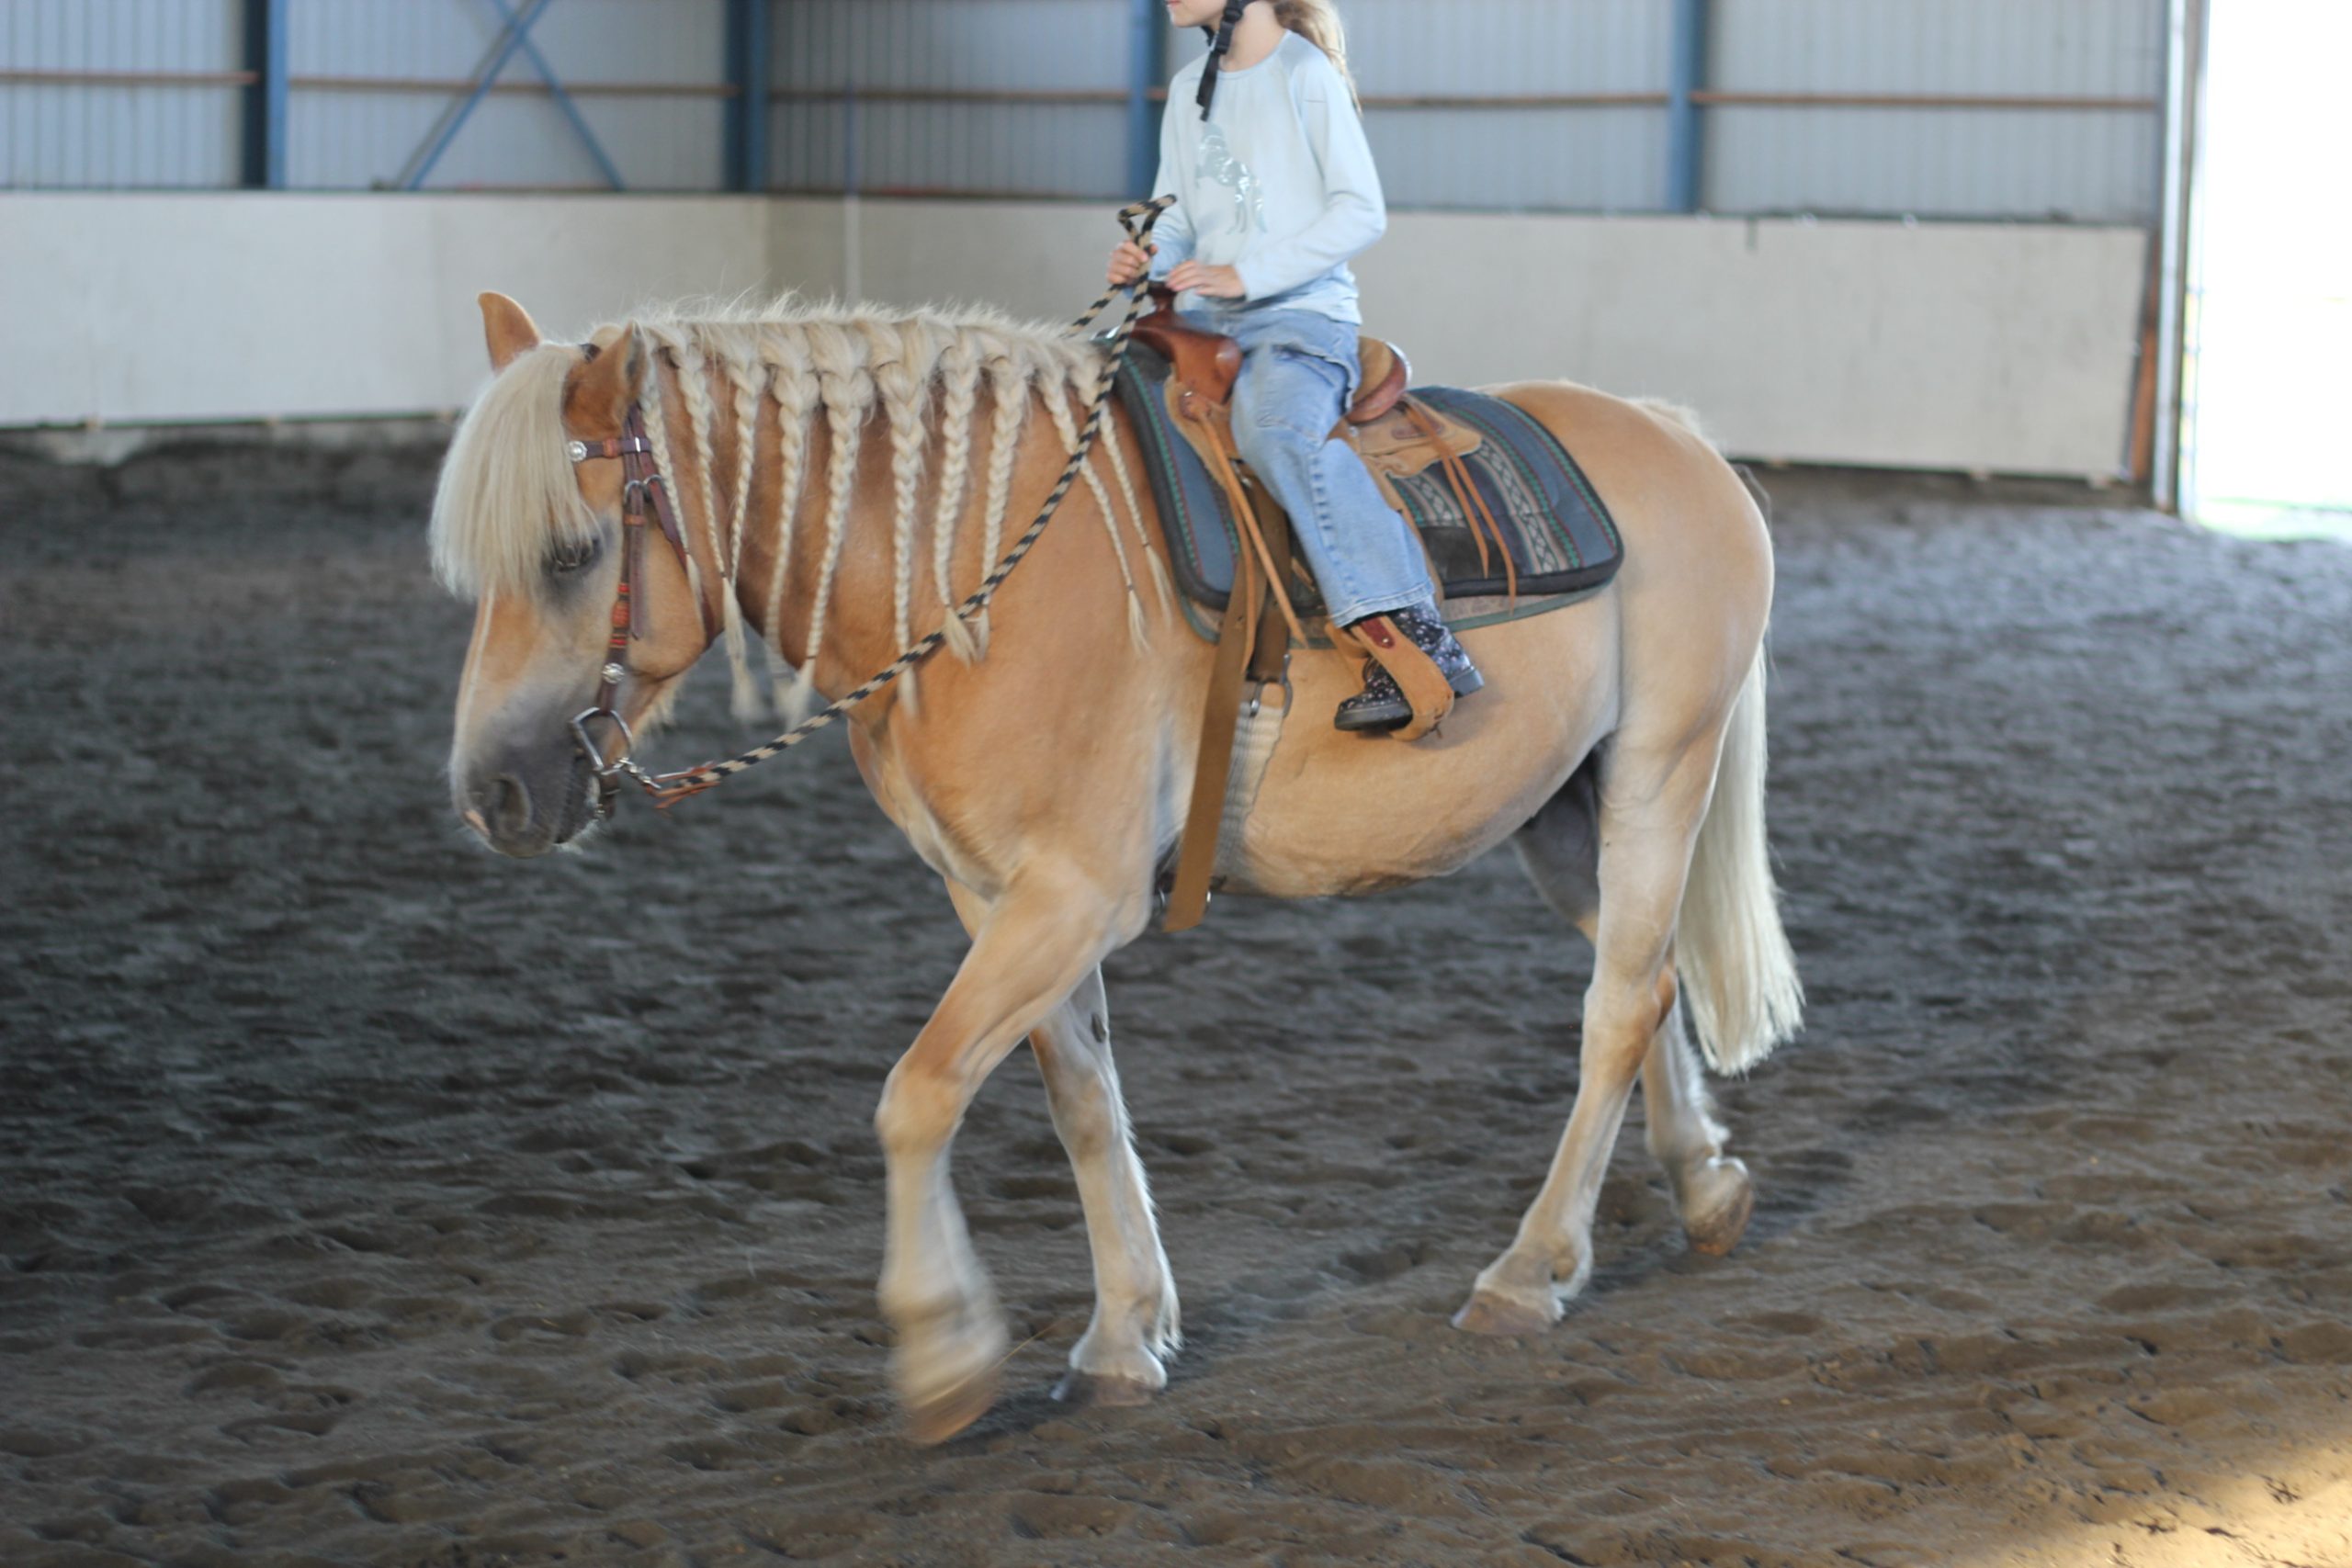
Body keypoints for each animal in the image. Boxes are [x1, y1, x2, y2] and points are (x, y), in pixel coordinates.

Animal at [433, 286, 1802, 1443]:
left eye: (569, 555)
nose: (493, 794)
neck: (969, 579)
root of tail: (1675, 438)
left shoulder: (1072, 896)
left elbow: (919, 1091)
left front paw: (944, 1351)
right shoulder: (995, 894)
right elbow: (1082, 1100)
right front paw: (1120, 1338)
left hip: (1660, 772)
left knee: (1615, 1005)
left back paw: (1528, 1271)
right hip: (1561, 814)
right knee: (1648, 980)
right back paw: (1703, 1187)